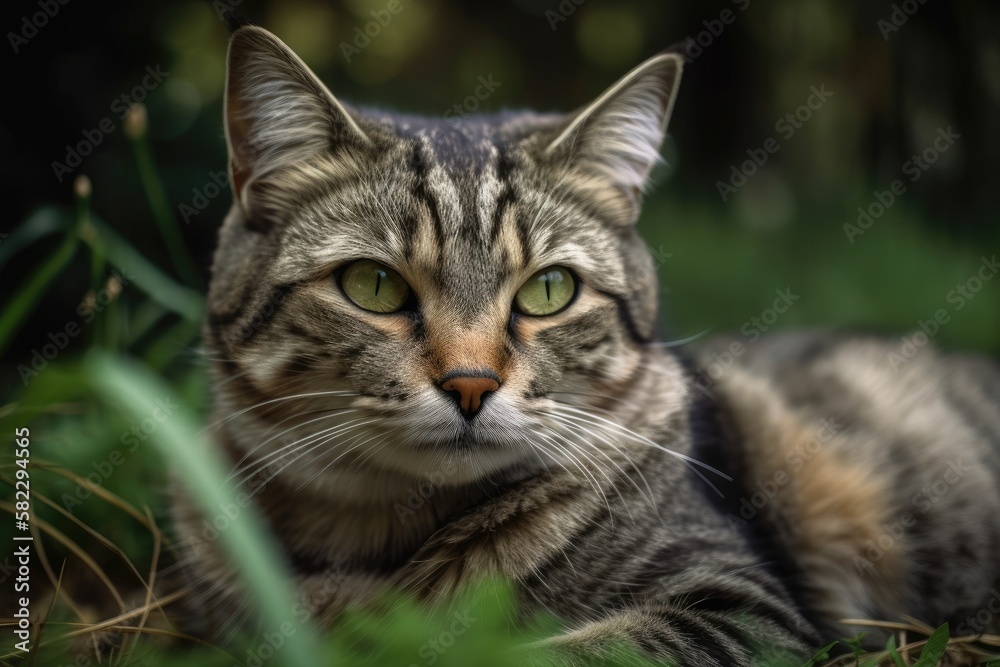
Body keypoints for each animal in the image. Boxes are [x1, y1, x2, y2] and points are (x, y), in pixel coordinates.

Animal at [172, 20, 1000, 667]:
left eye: (550, 290)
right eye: (373, 285)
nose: (470, 383)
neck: (379, 538)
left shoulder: (739, 604)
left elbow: (546, 650)